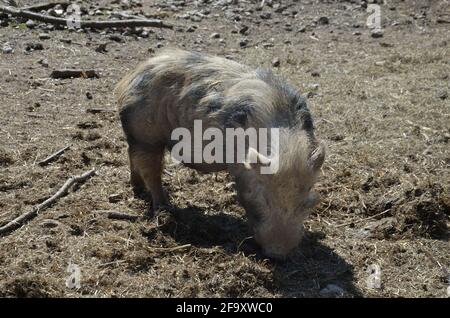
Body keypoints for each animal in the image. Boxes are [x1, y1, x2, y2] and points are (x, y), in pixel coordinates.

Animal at [115, 49, 324, 258]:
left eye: (307, 199)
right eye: (264, 198)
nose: (278, 254)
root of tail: (128, 79)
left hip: (138, 137)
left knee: (132, 155)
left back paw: (138, 188)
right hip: (146, 135)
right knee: (151, 172)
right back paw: (164, 208)